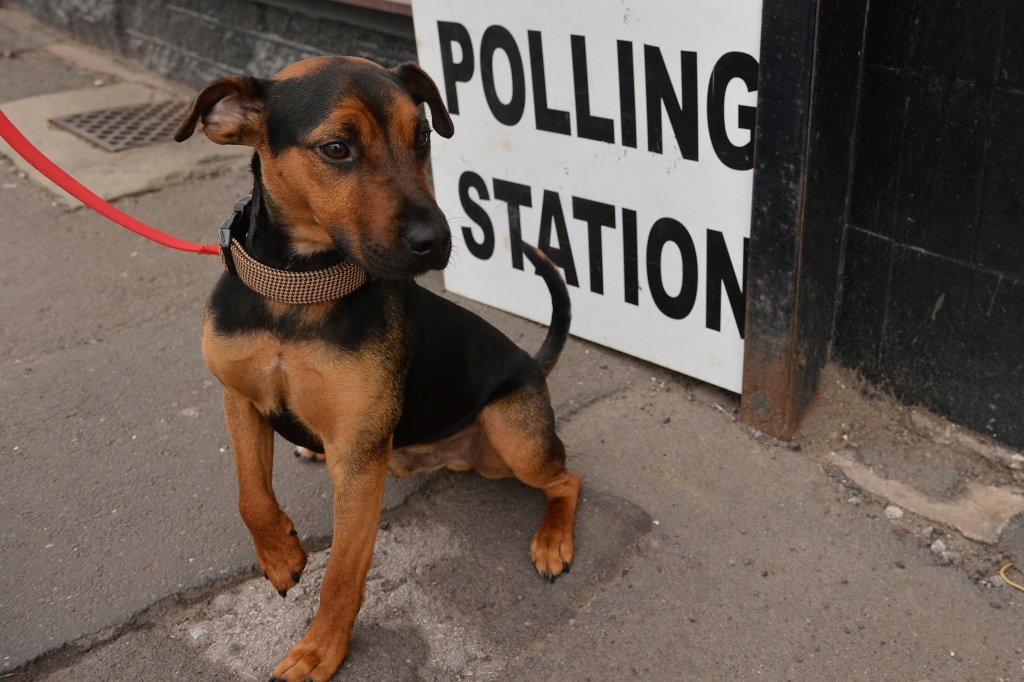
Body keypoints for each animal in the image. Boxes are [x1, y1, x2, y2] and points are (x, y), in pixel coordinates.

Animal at [172, 58, 581, 679]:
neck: (297, 292)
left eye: (424, 137)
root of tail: (533, 367)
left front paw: (319, 651)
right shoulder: (239, 399)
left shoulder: (361, 461)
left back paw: (554, 540)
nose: (438, 241)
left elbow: (342, 573)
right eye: (337, 148)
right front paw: (280, 555)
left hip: (514, 438)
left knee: (568, 479)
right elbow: (251, 494)